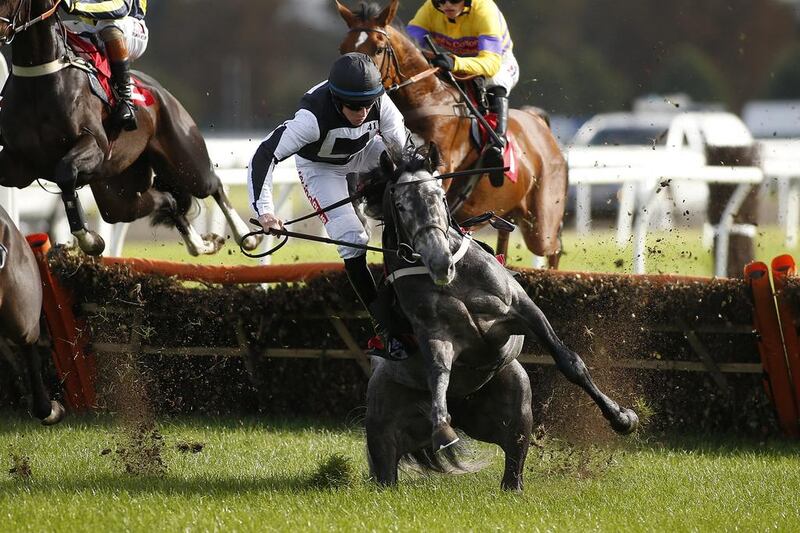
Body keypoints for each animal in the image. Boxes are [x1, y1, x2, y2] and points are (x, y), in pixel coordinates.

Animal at [0, 0, 260, 258]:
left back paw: (247, 237)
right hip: (119, 192)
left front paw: (91, 241)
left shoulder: (95, 145)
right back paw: (201, 244)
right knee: (168, 200)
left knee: (214, 184)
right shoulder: (19, 164)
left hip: (185, 161)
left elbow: (65, 173)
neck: (40, 78)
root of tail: (162, 92)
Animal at [338, 0, 568, 266]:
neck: (426, 99)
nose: (354, 94)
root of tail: (539, 123)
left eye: (378, 48)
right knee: (505, 242)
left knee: (554, 248)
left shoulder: (442, 162)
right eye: (343, 49)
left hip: (541, 223)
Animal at [356, 147, 636, 490]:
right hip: (382, 425)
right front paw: (443, 430)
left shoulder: (520, 310)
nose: (441, 262)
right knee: (386, 469)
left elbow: (570, 362)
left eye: (439, 195)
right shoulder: (435, 335)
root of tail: (463, 406)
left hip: (517, 403)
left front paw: (622, 418)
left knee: (513, 467)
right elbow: (438, 377)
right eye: (400, 205)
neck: (453, 280)